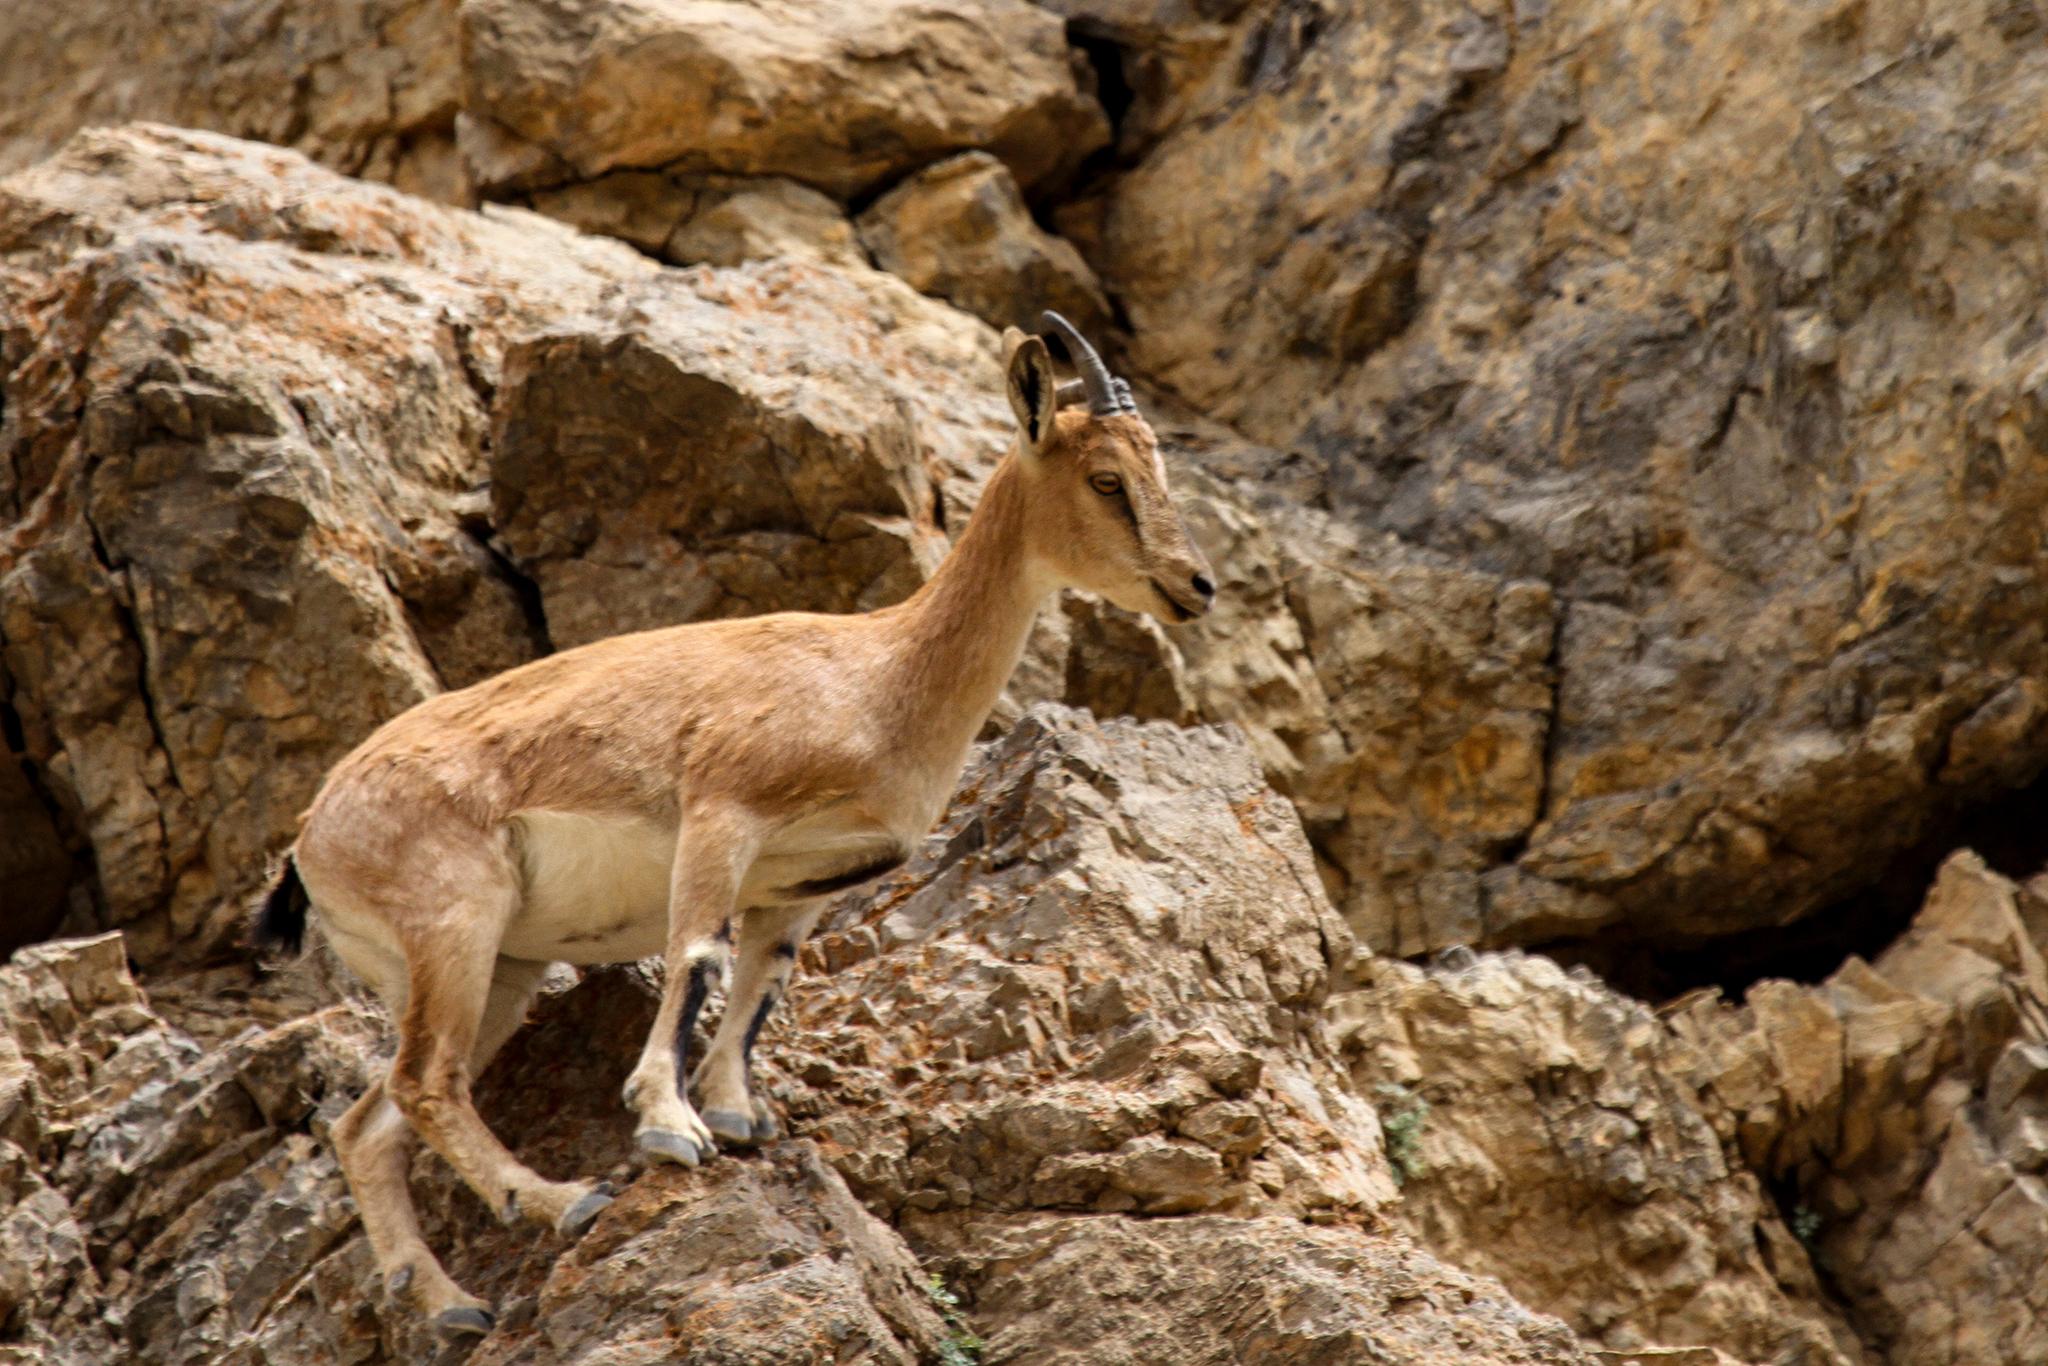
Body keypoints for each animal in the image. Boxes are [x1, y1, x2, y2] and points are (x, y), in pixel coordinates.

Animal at [255, 313, 1216, 1337]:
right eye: (1107, 479)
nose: (1195, 584)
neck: (879, 679)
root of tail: (311, 838)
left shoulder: (803, 884)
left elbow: (760, 982)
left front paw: (736, 1115)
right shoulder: (723, 811)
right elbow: (699, 958)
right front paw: (670, 1127)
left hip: (497, 970)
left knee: (368, 1122)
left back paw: (448, 1303)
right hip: (455, 920)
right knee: (424, 1083)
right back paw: (566, 1202)